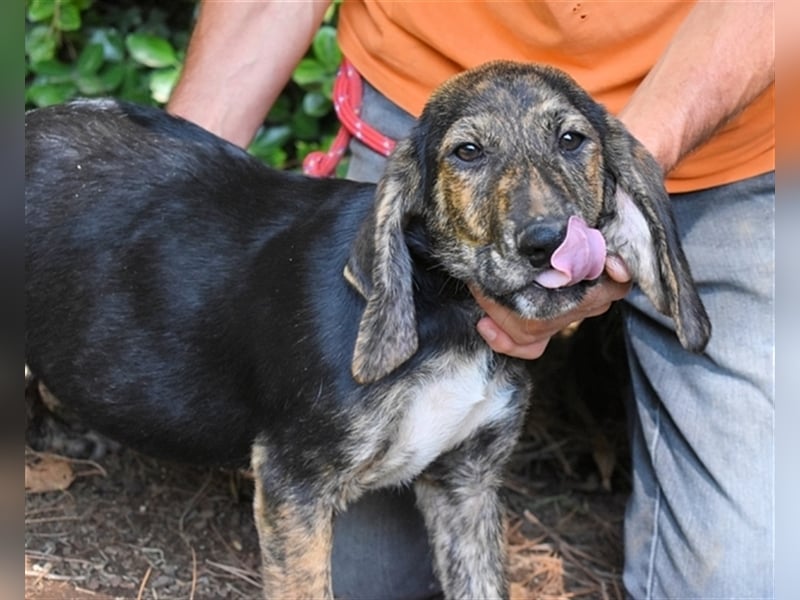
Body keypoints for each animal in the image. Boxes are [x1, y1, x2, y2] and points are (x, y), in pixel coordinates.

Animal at [26, 62, 712, 600]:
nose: (548, 243)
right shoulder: (293, 484)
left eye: (572, 140)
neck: (450, 311)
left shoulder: (466, 485)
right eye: (468, 152)